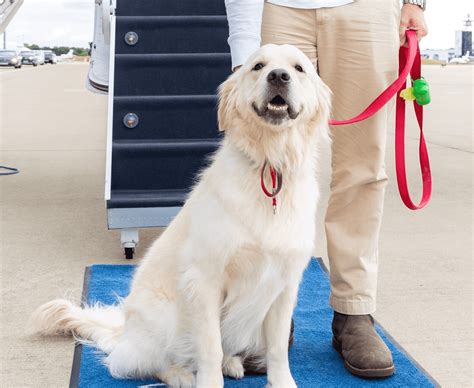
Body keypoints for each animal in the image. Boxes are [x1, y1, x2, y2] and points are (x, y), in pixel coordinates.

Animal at [31, 44, 332, 388]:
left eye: (298, 68)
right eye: (258, 66)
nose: (279, 76)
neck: (270, 164)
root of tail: (123, 333)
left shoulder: (284, 285)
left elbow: (278, 348)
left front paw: (281, 382)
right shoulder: (205, 280)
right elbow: (210, 347)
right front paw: (208, 381)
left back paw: (232, 363)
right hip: (164, 315)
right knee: (139, 362)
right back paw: (180, 375)